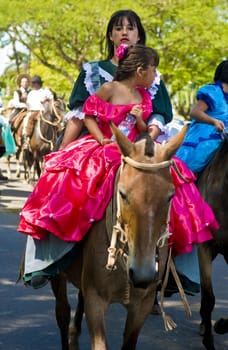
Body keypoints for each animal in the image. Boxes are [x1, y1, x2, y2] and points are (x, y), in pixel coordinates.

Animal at [50, 123, 189, 350]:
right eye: (123, 194)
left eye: (171, 196)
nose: (142, 275)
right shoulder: (96, 300)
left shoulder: (142, 304)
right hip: (58, 275)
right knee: (62, 312)